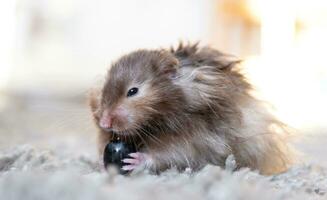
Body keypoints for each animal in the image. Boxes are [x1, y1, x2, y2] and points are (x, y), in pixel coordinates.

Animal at [88, 42, 294, 175]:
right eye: (104, 89)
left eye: (133, 91)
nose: (105, 123)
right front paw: (100, 163)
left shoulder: (196, 138)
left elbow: (169, 154)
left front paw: (134, 160)